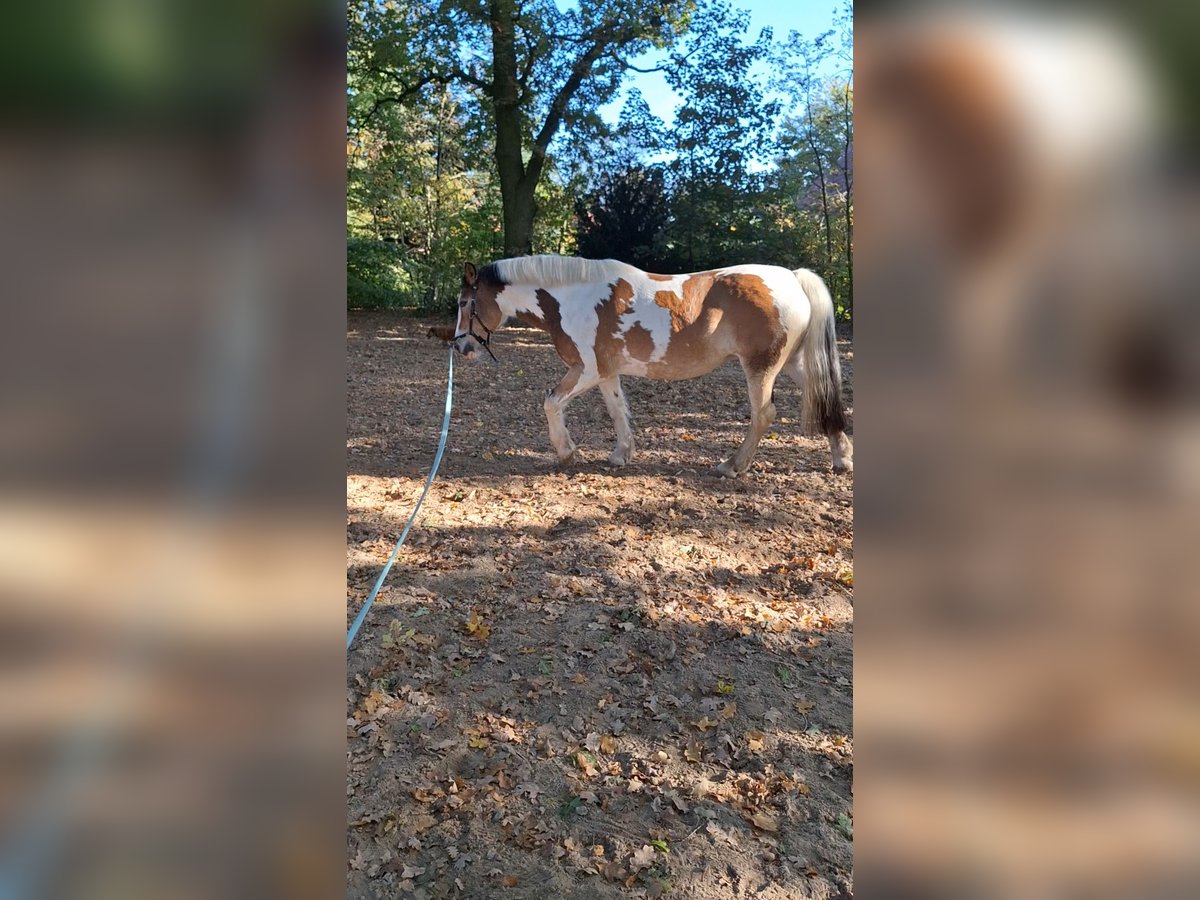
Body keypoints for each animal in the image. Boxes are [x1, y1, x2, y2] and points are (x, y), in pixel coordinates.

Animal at [451, 255, 854, 480]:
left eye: (464, 303)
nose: (461, 347)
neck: (570, 298)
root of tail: (792, 278)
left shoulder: (585, 370)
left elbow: (551, 402)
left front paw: (566, 452)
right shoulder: (606, 373)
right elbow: (617, 411)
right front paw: (621, 454)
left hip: (761, 366)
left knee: (764, 414)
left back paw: (731, 466)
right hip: (793, 363)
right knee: (823, 397)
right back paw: (842, 457)